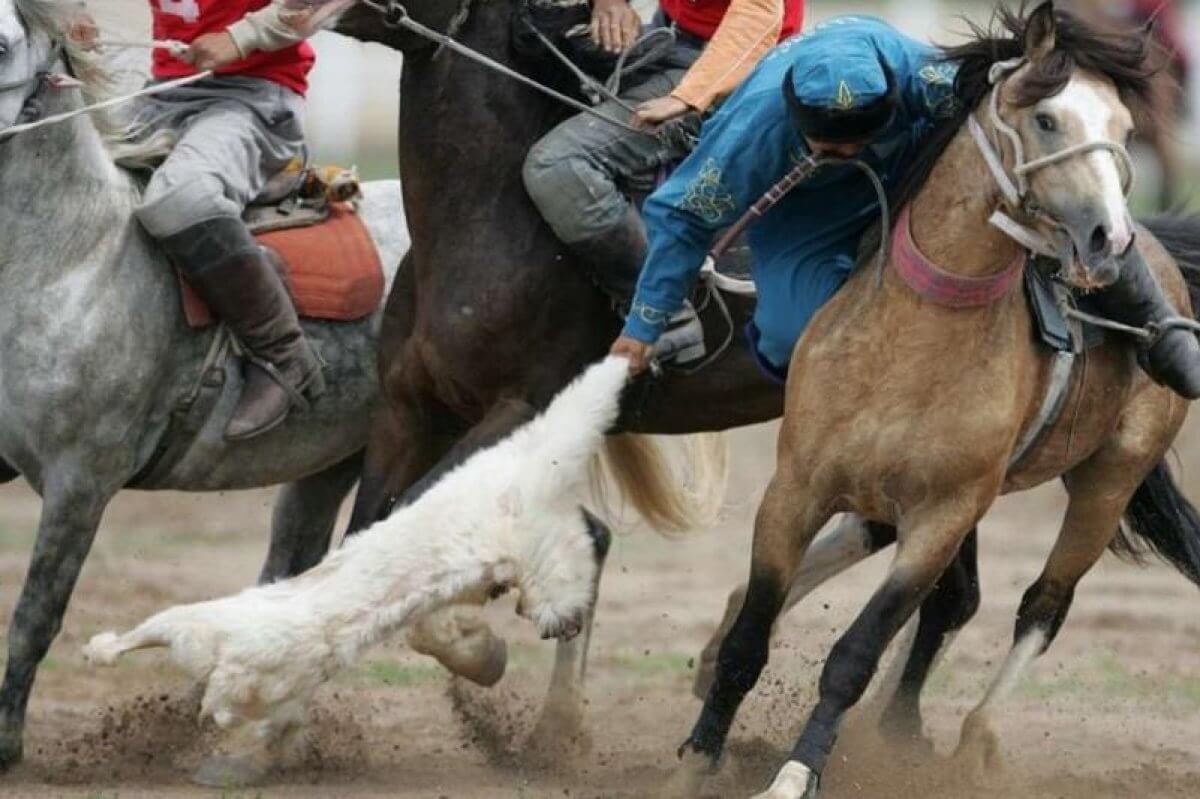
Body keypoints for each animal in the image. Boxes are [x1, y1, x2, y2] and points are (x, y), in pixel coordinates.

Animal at [672, 3, 1200, 791]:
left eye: (1124, 126)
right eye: (1047, 119)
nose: (1109, 238)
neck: (912, 339)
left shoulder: (943, 516)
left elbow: (856, 652)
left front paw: (798, 771)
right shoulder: (793, 491)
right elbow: (750, 636)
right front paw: (700, 754)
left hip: (1108, 478)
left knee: (1041, 604)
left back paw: (973, 735)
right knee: (931, 587)